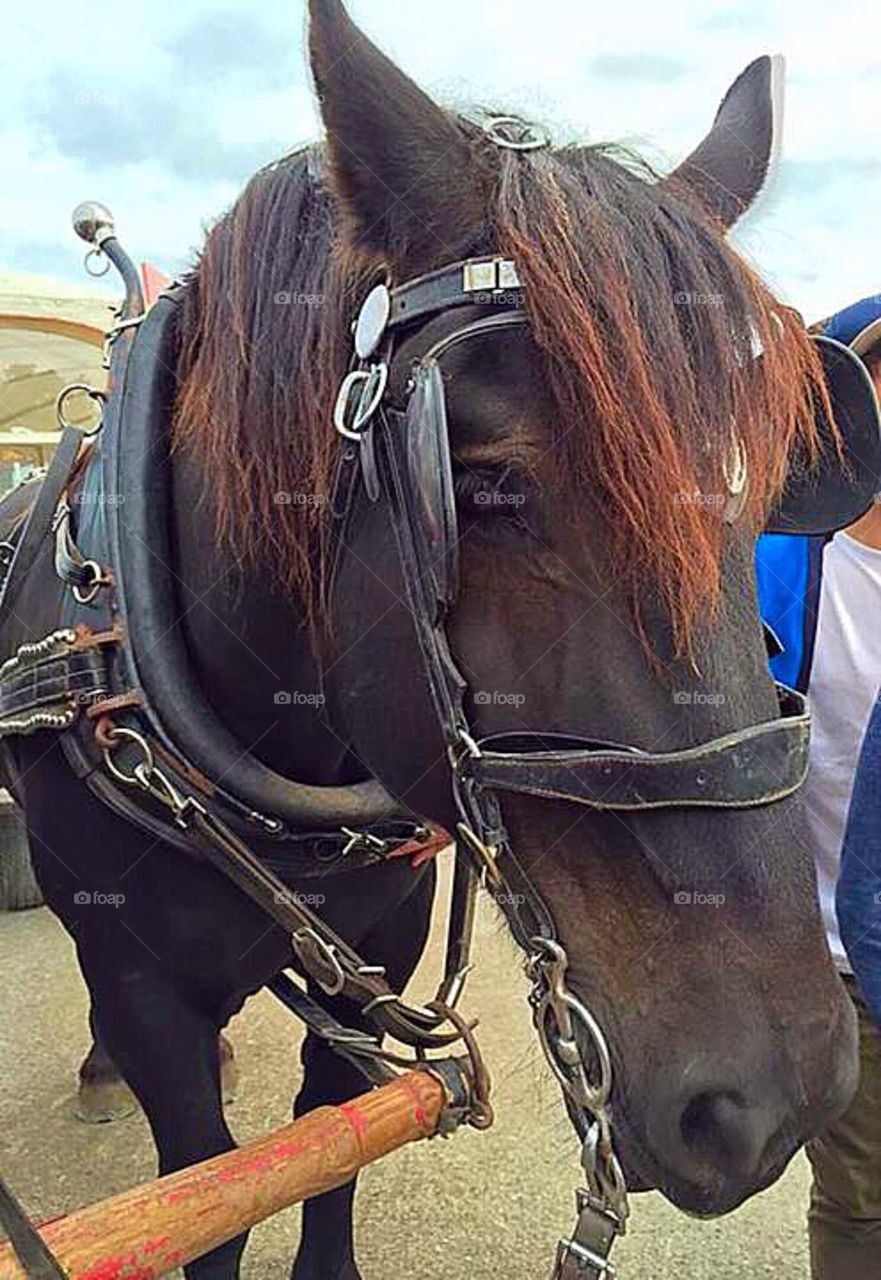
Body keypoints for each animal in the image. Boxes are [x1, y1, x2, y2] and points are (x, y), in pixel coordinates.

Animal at [0, 2, 860, 1280]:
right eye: (485, 486)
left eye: (764, 496)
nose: (784, 1090)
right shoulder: (140, 981)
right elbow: (208, 1185)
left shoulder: (384, 938)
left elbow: (329, 1127)